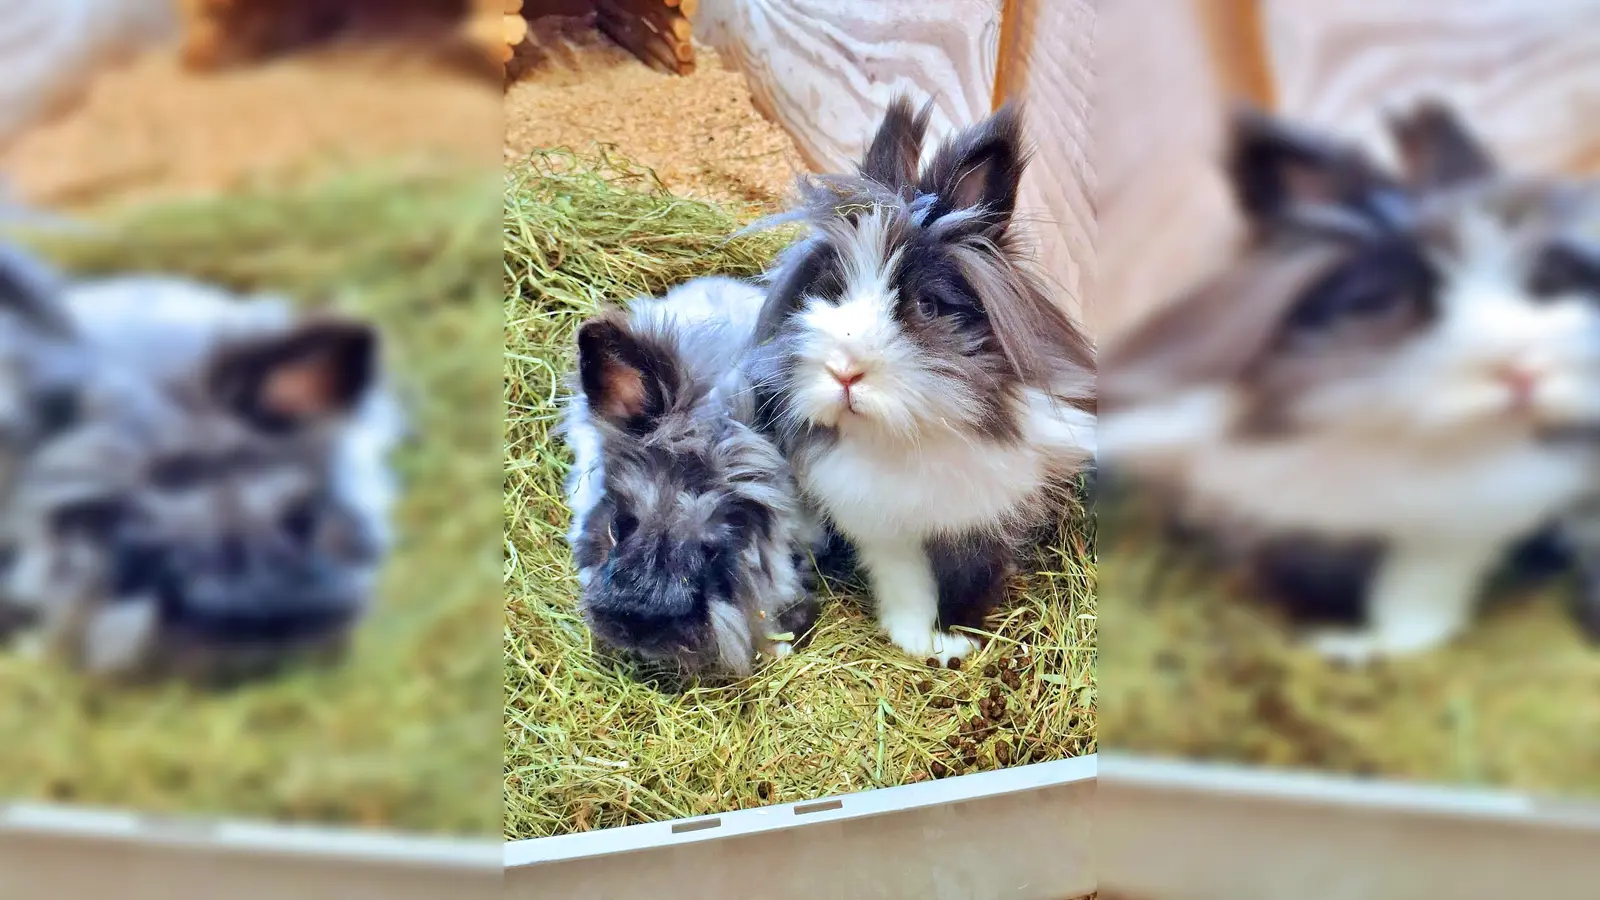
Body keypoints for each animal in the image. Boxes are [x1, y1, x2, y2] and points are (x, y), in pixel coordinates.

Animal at [744, 96, 1098, 664]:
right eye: (831, 293)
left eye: (927, 306)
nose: (845, 371)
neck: (906, 437)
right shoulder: (886, 530)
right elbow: (906, 582)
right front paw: (911, 637)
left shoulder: (983, 521)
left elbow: (971, 581)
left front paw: (956, 642)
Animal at [1097, 98, 1600, 663]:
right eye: (1383, 297)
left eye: (1551, 287)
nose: (1524, 372)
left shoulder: (1455, 530)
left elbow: (1414, 604)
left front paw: (1356, 649)